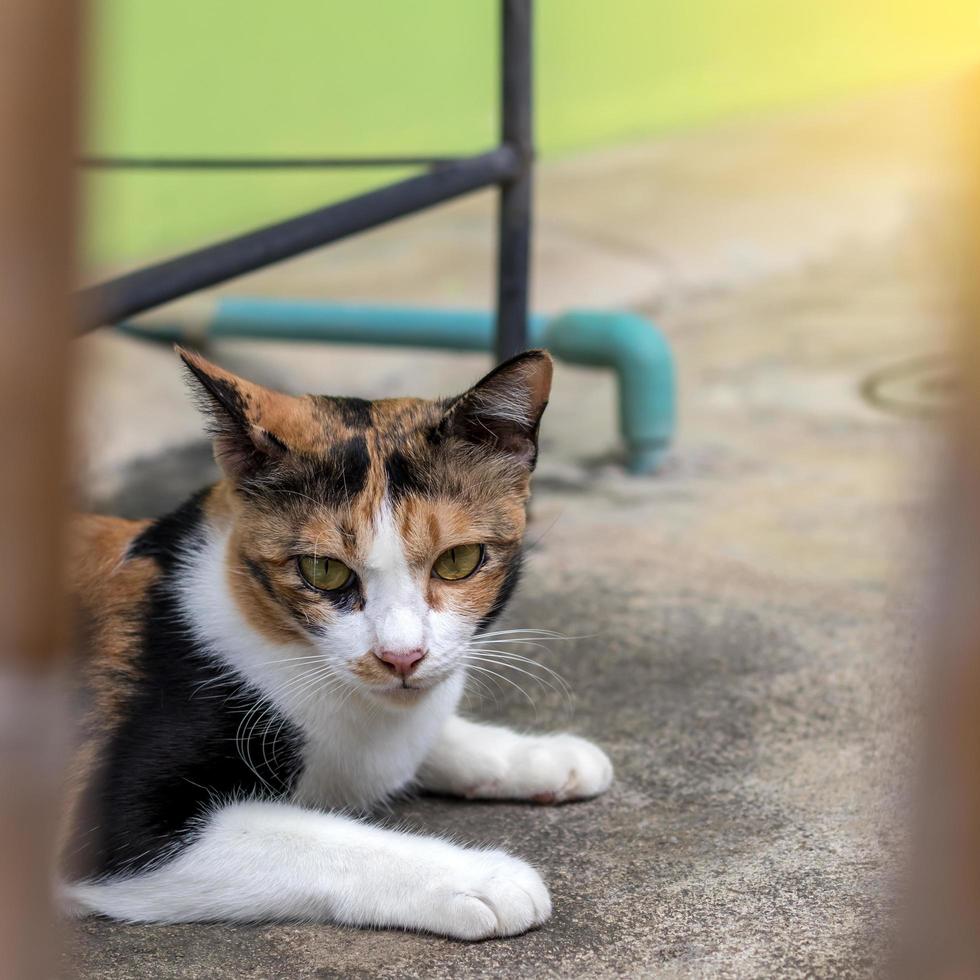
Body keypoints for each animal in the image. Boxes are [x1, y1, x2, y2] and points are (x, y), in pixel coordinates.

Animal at [61, 348, 608, 936]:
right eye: (323, 571)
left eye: (459, 560)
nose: (401, 656)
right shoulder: (115, 829)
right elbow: (310, 839)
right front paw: (481, 877)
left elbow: (431, 739)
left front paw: (542, 755)